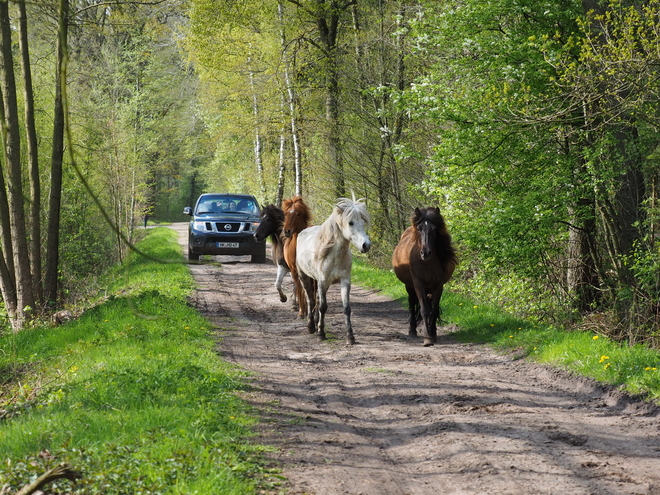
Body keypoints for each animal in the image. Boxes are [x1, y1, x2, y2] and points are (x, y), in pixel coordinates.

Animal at [296, 198, 372, 344]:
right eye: (350, 222)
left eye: (363, 221)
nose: (366, 245)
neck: (334, 255)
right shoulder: (323, 282)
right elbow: (323, 307)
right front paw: (321, 333)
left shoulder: (345, 281)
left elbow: (346, 308)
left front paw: (350, 336)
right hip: (305, 277)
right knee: (311, 300)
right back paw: (311, 326)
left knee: (316, 300)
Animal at [390, 207, 456, 346]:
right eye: (419, 228)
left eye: (435, 229)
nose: (425, 253)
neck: (427, 263)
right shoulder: (418, 284)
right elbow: (424, 310)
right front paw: (427, 338)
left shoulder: (438, 285)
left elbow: (434, 310)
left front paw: (433, 334)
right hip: (410, 286)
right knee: (412, 304)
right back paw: (412, 330)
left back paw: (432, 331)